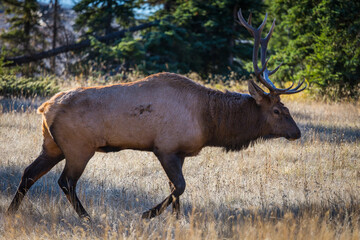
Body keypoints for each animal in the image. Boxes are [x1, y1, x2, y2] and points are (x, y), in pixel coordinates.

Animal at [7, 10, 306, 220]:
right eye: (278, 110)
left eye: (287, 109)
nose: (297, 132)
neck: (210, 122)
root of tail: (45, 108)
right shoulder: (165, 147)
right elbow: (179, 186)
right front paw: (147, 214)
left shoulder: (180, 152)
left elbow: (175, 188)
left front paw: (176, 219)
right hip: (78, 147)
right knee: (66, 182)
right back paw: (87, 218)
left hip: (52, 145)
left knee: (29, 173)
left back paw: (11, 212)